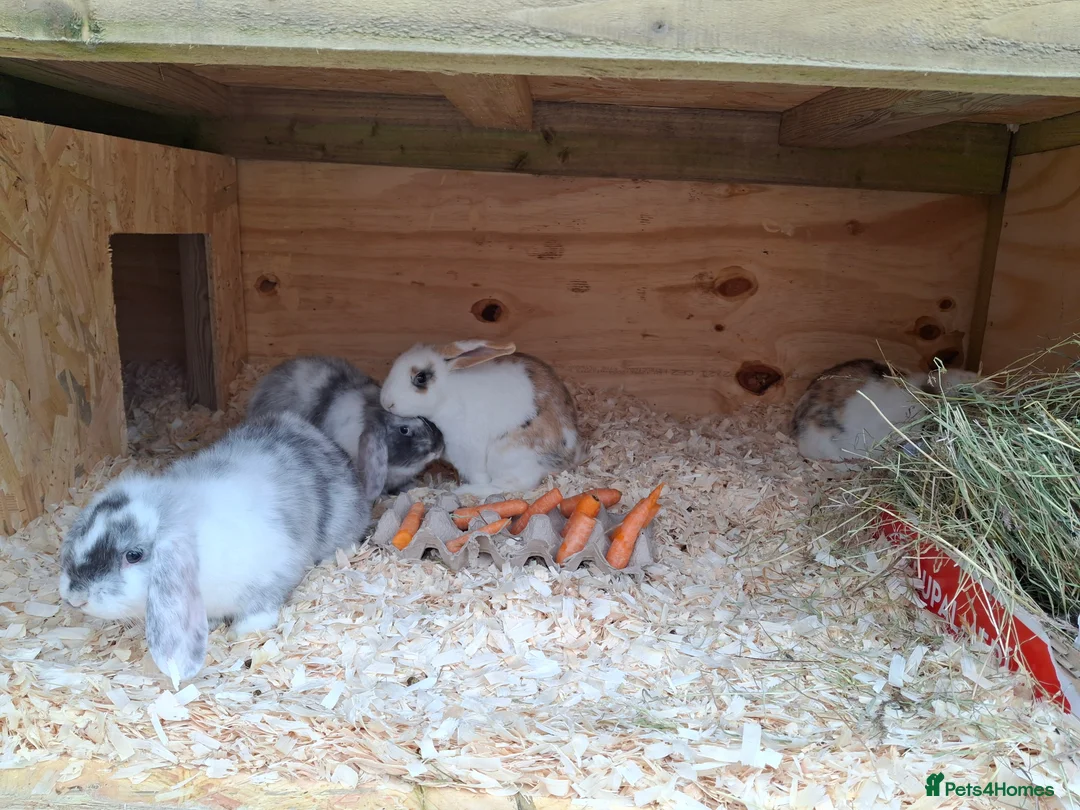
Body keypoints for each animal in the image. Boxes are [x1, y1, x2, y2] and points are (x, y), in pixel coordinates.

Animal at [379, 339, 585, 498]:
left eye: (421, 377)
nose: (386, 402)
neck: (447, 396)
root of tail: (568, 460)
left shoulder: (468, 451)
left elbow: (478, 474)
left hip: (507, 454)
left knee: (509, 485)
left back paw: (464, 491)